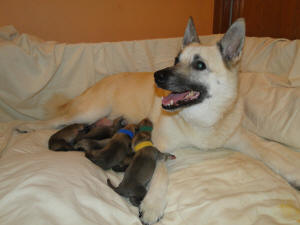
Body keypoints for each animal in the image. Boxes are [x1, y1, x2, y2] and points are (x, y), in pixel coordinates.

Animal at [15, 18, 300, 225]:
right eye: (176, 59)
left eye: (199, 65)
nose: (157, 76)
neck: (201, 119)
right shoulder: (158, 146)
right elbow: (161, 173)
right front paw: (153, 203)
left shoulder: (241, 137)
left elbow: (269, 149)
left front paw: (291, 169)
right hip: (88, 112)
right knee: (55, 120)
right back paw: (26, 125)